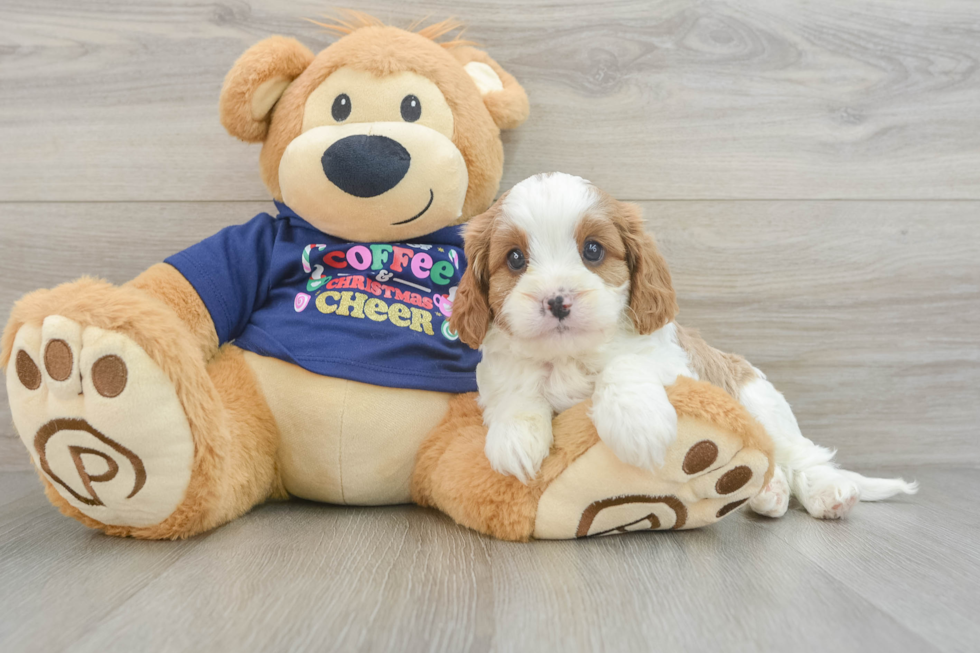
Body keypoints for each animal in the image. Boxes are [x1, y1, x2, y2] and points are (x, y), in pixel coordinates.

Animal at [454, 171, 920, 516]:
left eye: (593, 250)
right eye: (515, 259)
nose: (556, 300)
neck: (570, 355)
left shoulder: (669, 361)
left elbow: (625, 364)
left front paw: (637, 423)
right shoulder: (501, 370)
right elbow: (515, 390)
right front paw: (515, 439)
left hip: (760, 402)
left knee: (799, 453)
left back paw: (825, 491)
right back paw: (769, 492)